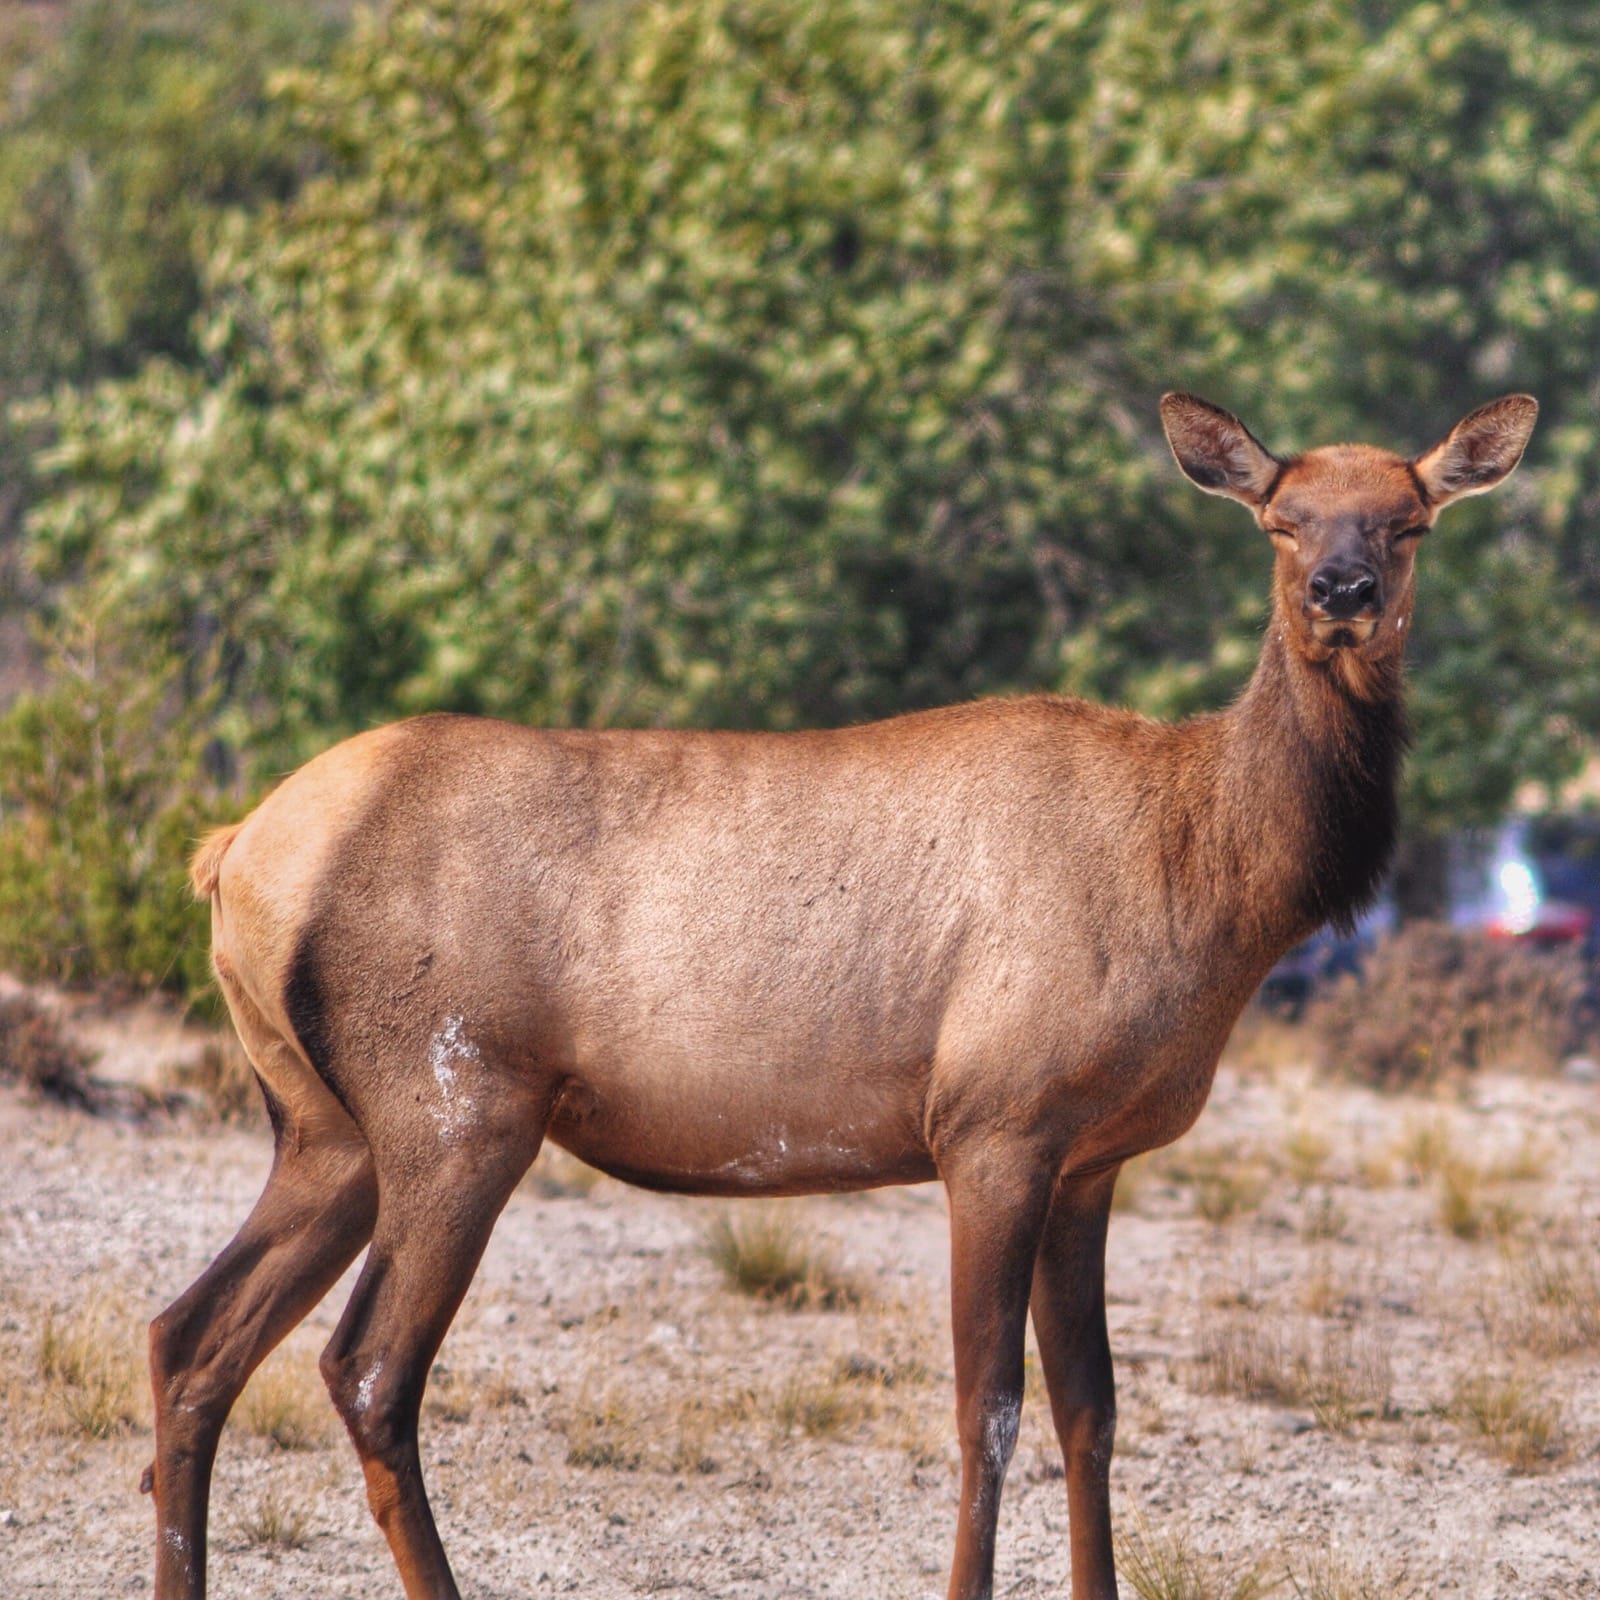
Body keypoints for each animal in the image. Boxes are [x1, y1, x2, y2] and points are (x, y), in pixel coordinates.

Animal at [144, 392, 1537, 1600]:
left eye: (1408, 517)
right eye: (1281, 517)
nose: (1342, 594)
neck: (1212, 884)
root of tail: (234, 850)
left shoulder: (1092, 1154)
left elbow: (1092, 1407)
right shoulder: (993, 1121)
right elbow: (987, 1405)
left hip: (325, 1125)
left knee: (192, 1335)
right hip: (456, 1099)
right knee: (367, 1367)